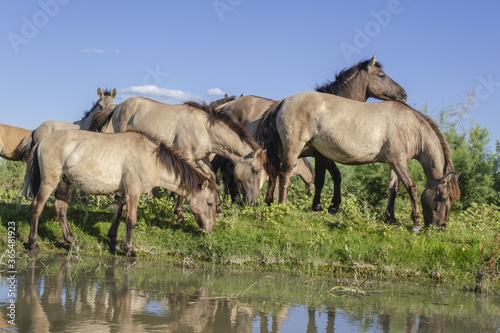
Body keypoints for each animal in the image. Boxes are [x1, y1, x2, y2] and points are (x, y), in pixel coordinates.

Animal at [26, 128, 219, 255]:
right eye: (209, 203)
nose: (210, 230)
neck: (151, 159)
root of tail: (42, 141)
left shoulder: (127, 192)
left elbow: (119, 216)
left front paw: (114, 242)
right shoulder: (133, 192)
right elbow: (131, 220)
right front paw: (129, 250)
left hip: (66, 182)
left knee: (60, 208)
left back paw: (72, 242)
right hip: (49, 182)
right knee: (37, 207)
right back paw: (33, 243)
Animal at [88, 96, 272, 220]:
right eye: (255, 170)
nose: (253, 201)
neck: (204, 129)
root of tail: (119, 105)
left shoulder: (202, 159)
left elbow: (213, 178)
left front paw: (219, 210)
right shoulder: (187, 158)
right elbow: (185, 185)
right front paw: (179, 214)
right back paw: (116, 200)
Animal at [220, 55, 406, 210]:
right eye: (381, 75)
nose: (403, 94)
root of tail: (227, 106)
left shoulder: (322, 155)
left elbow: (335, 176)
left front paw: (333, 204)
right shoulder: (322, 155)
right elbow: (323, 178)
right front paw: (321, 205)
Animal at [266, 91, 460, 231]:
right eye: (443, 198)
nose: (441, 227)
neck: (411, 126)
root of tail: (284, 101)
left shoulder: (394, 163)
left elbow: (393, 189)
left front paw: (391, 218)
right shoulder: (398, 161)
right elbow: (411, 188)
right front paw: (416, 224)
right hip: (293, 148)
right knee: (284, 175)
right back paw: (282, 208)